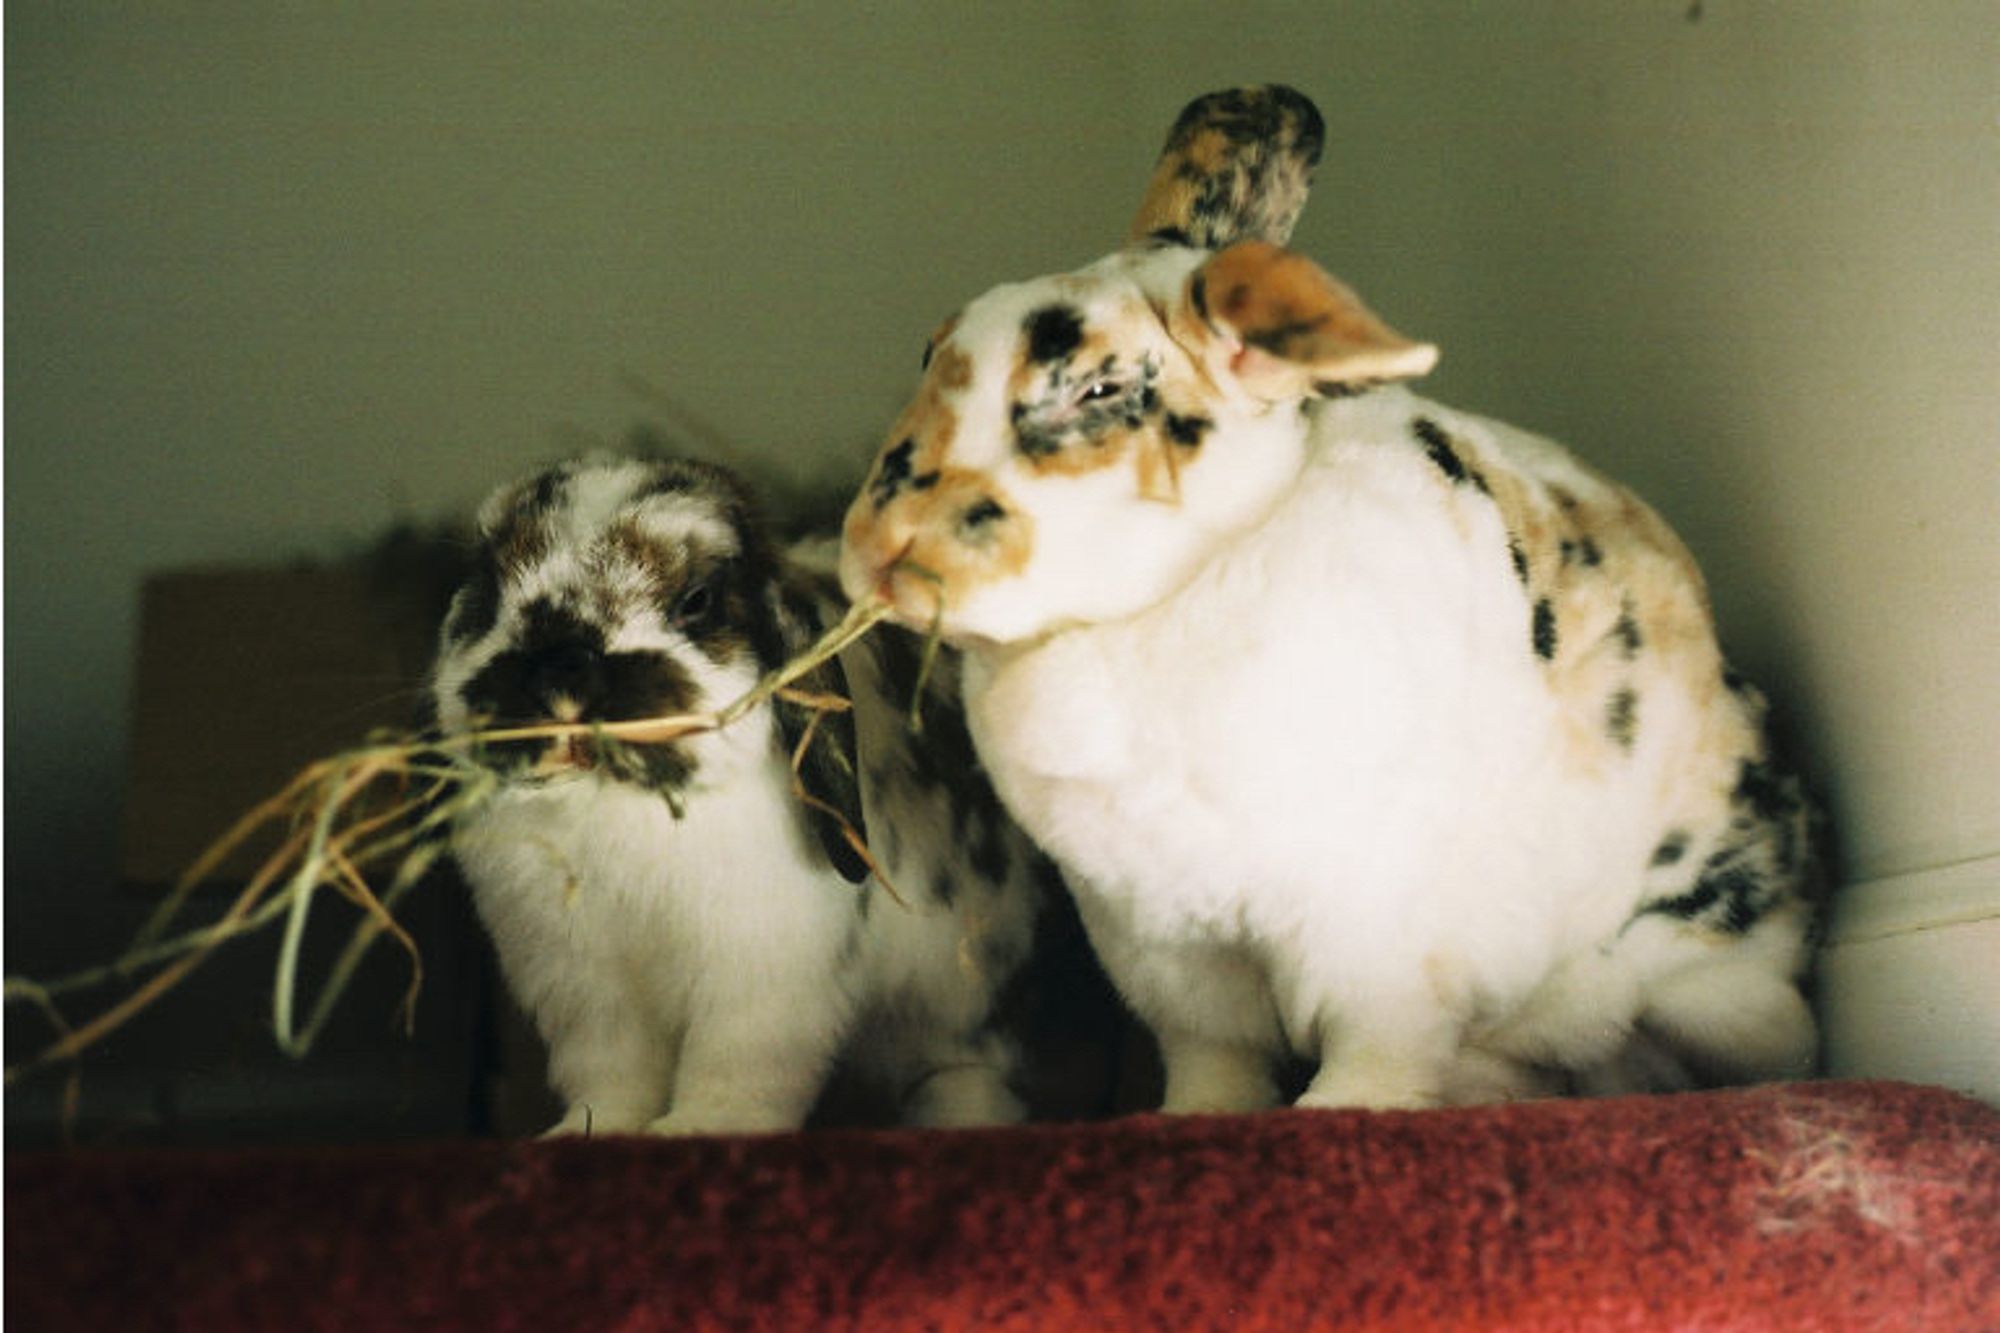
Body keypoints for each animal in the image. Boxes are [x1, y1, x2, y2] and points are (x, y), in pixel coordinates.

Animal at [432, 448, 1072, 1128]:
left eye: (697, 601)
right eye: (489, 587)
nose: (562, 670)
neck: (609, 805)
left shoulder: (759, 987)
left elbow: (738, 1071)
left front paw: (693, 1129)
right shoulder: (589, 991)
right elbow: (614, 1079)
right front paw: (588, 1130)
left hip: (966, 983)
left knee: (968, 1064)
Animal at [844, 85, 1832, 1112]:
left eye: (1098, 388)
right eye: (928, 353)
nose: (873, 551)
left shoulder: (1372, 936)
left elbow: (1379, 1043)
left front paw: (1341, 1111)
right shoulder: (1167, 951)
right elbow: (1215, 1055)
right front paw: (1195, 1117)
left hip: (1713, 993)